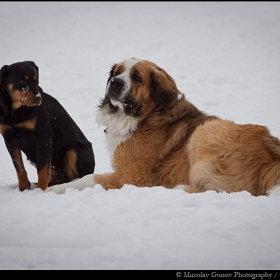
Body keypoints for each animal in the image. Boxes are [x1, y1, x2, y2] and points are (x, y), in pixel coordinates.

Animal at [0, 60, 95, 192]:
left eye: (36, 80)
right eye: (22, 81)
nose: (37, 97)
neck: (15, 112)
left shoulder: (43, 135)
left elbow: (42, 169)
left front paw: (40, 190)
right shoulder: (8, 138)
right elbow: (19, 167)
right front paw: (24, 188)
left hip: (76, 149)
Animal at [45, 57, 280, 196]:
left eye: (136, 77)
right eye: (117, 73)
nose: (115, 82)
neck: (145, 116)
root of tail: (272, 155)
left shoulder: (130, 177)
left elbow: (87, 178)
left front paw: (55, 188)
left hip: (205, 131)